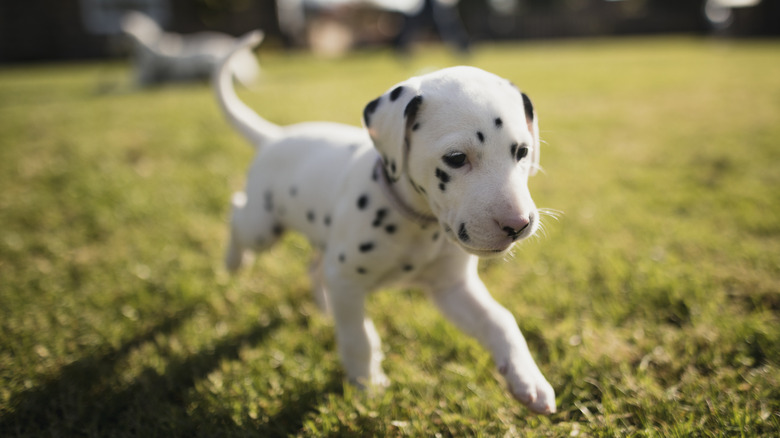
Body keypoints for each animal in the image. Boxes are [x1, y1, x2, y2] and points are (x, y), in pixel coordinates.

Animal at [213, 31, 556, 414]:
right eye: (456, 158)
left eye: (522, 152)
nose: (519, 224)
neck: (418, 223)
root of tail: (274, 137)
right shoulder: (347, 280)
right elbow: (358, 337)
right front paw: (368, 387)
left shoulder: (452, 288)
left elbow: (500, 320)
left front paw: (527, 378)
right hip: (262, 226)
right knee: (237, 212)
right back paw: (234, 261)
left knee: (314, 267)